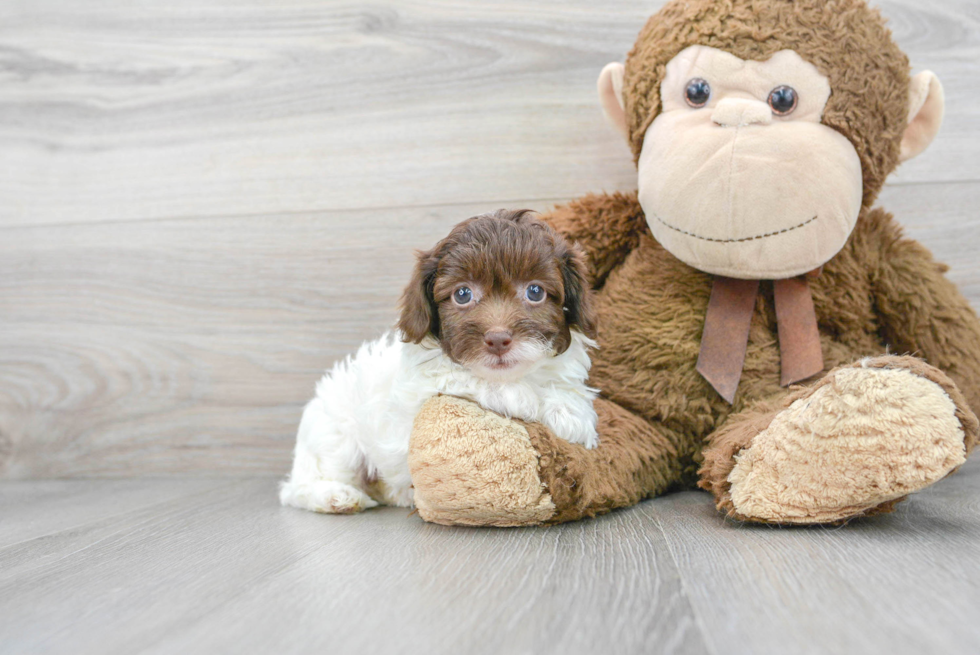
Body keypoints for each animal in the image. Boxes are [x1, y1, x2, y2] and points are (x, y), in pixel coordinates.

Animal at [276, 208, 596, 516]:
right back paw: (336, 496)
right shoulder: (430, 384)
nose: (498, 339)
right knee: (298, 487)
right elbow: (480, 384)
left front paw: (570, 411)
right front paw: (539, 404)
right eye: (462, 294)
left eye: (535, 291)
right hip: (336, 436)